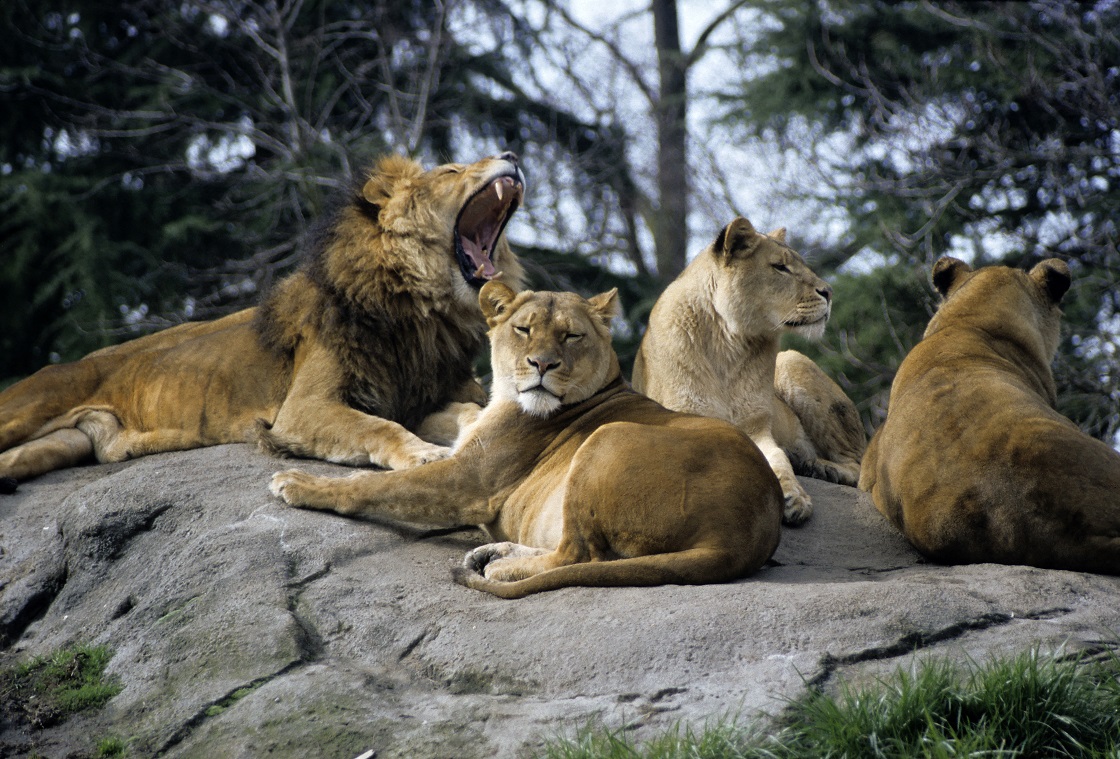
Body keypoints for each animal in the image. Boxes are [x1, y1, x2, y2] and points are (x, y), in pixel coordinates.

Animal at [0, 151, 524, 490]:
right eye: (453, 170)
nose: (511, 154)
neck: (423, 312)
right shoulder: (303, 408)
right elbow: (378, 429)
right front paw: (423, 454)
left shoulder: (418, 398)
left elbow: (466, 412)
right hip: (31, 405)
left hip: (67, 443)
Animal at [268, 282, 788, 595]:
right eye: (523, 329)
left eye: (572, 336)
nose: (542, 364)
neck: (508, 397)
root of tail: (739, 537)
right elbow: (454, 418)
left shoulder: (468, 482)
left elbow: (373, 487)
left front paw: (298, 483)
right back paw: (495, 554)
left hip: (606, 439)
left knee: (578, 553)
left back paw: (500, 565)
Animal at [636, 220, 860, 526]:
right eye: (780, 267)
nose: (829, 292)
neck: (727, 344)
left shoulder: (756, 428)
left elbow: (776, 460)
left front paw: (795, 498)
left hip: (792, 362)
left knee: (859, 467)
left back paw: (822, 468)